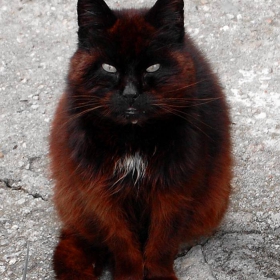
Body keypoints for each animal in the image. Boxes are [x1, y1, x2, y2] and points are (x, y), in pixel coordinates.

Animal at [49, 0, 232, 278]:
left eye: (153, 67)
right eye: (109, 68)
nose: (130, 94)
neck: (133, 142)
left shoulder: (174, 192)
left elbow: (161, 244)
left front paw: (159, 275)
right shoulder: (100, 196)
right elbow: (122, 244)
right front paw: (128, 274)